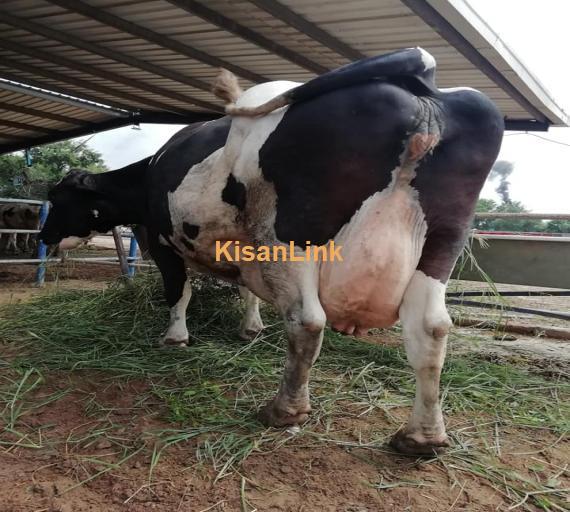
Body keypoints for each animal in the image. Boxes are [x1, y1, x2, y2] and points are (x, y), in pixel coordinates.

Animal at [41, 48, 503, 455]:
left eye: (58, 198)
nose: (43, 237)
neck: (149, 175)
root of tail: (422, 76)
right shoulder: (245, 249)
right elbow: (246, 290)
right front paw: (250, 328)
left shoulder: (163, 243)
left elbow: (178, 292)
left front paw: (175, 337)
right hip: (443, 241)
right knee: (431, 329)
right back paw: (422, 438)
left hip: (294, 237)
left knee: (308, 321)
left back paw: (285, 410)